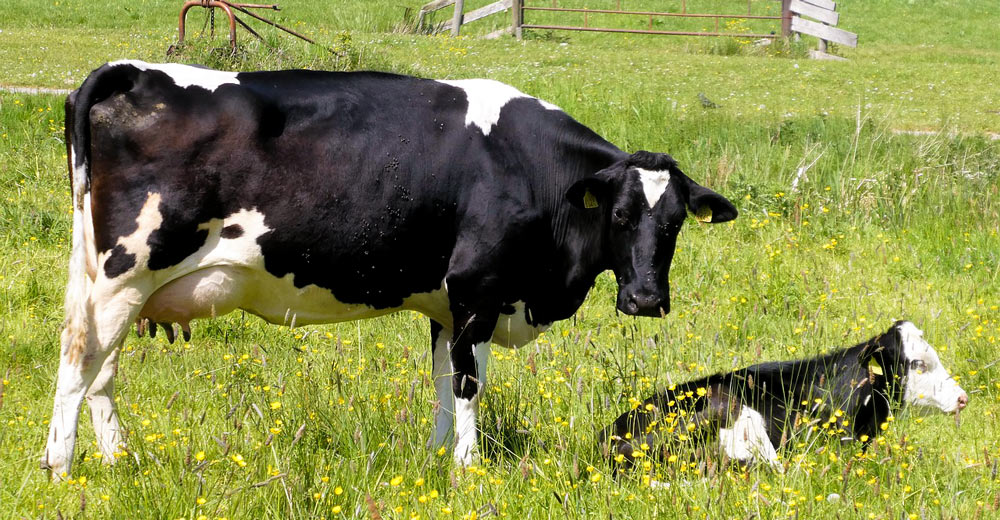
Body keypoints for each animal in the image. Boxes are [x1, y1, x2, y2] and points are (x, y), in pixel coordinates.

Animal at [43, 60, 738, 477]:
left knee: (102, 371)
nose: (646, 299)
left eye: (675, 222)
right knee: (79, 360)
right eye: (619, 214)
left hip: (119, 283)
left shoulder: (448, 303)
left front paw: (435, 457)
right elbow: (469, 384)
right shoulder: (477, 289)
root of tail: (132, 73)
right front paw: (467, 468)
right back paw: (62, 468)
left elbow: (441, 381)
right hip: (125, 270)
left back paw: (117, 459)